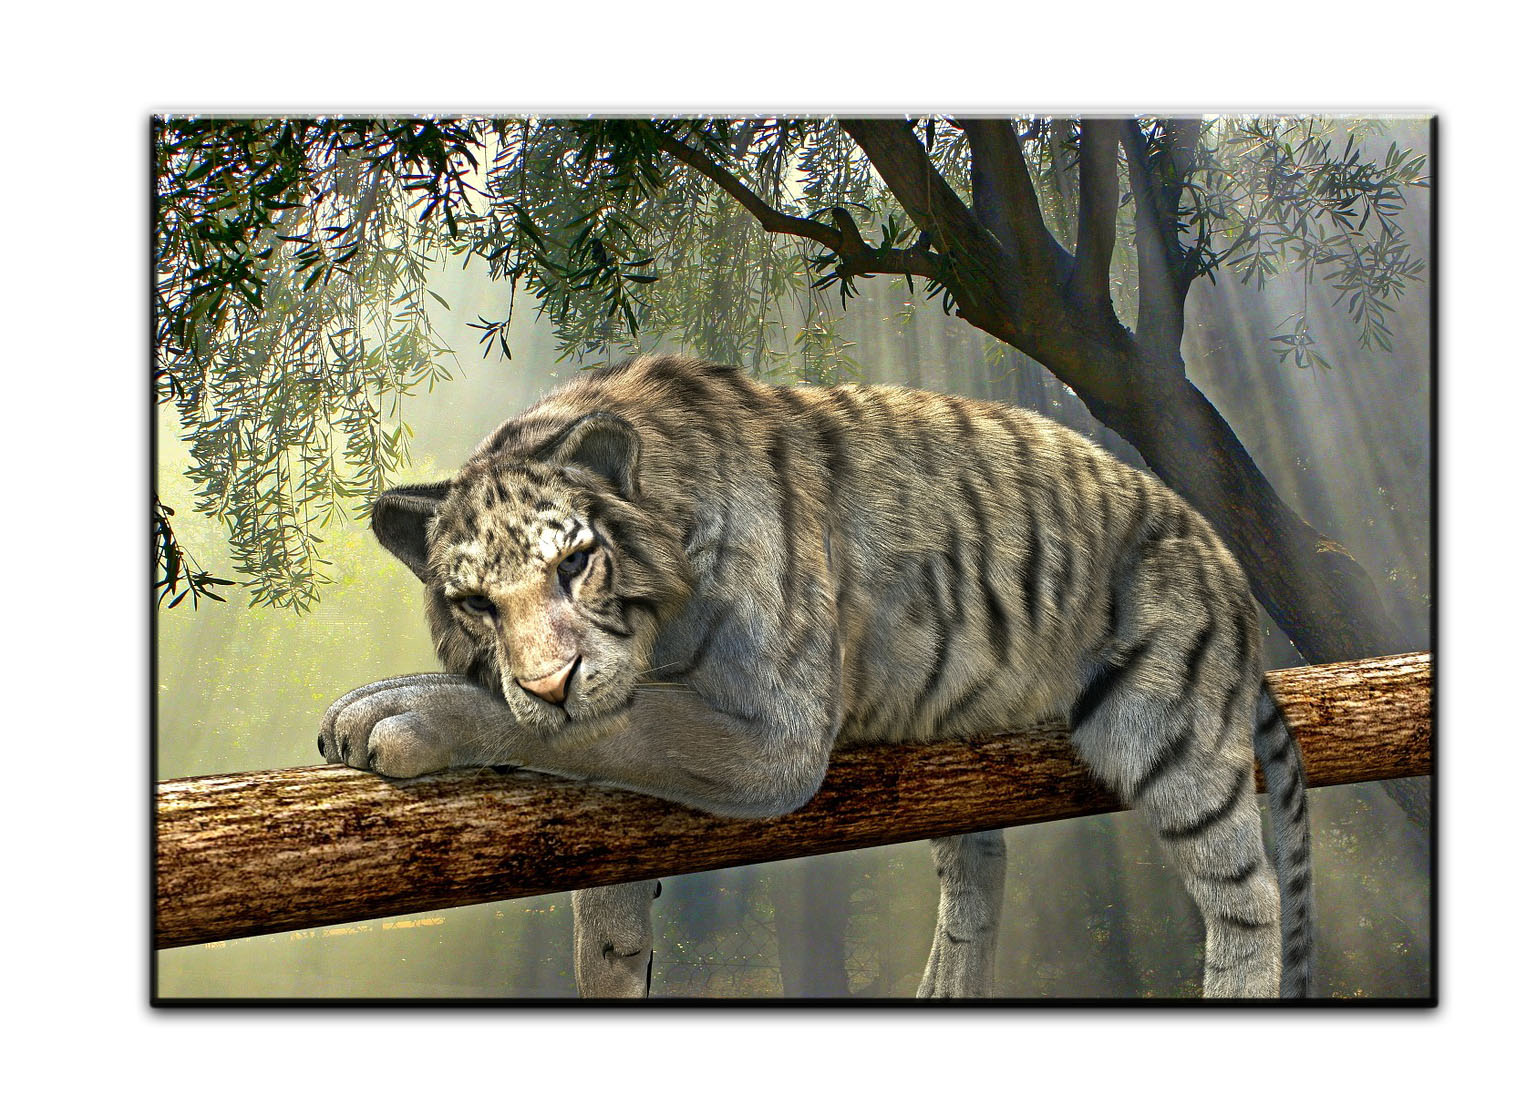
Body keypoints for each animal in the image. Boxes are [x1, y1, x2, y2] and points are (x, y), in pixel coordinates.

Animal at [317, 353, 1313, 999]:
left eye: (575, 564)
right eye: (475, 603)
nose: (549, 682)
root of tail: (1221, 555)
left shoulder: (774, 741)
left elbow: (619, 726)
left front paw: (397, 713)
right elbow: (606, 886)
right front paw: (613, 963)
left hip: (1169, 733)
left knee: (1249, 899)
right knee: (979, 863)